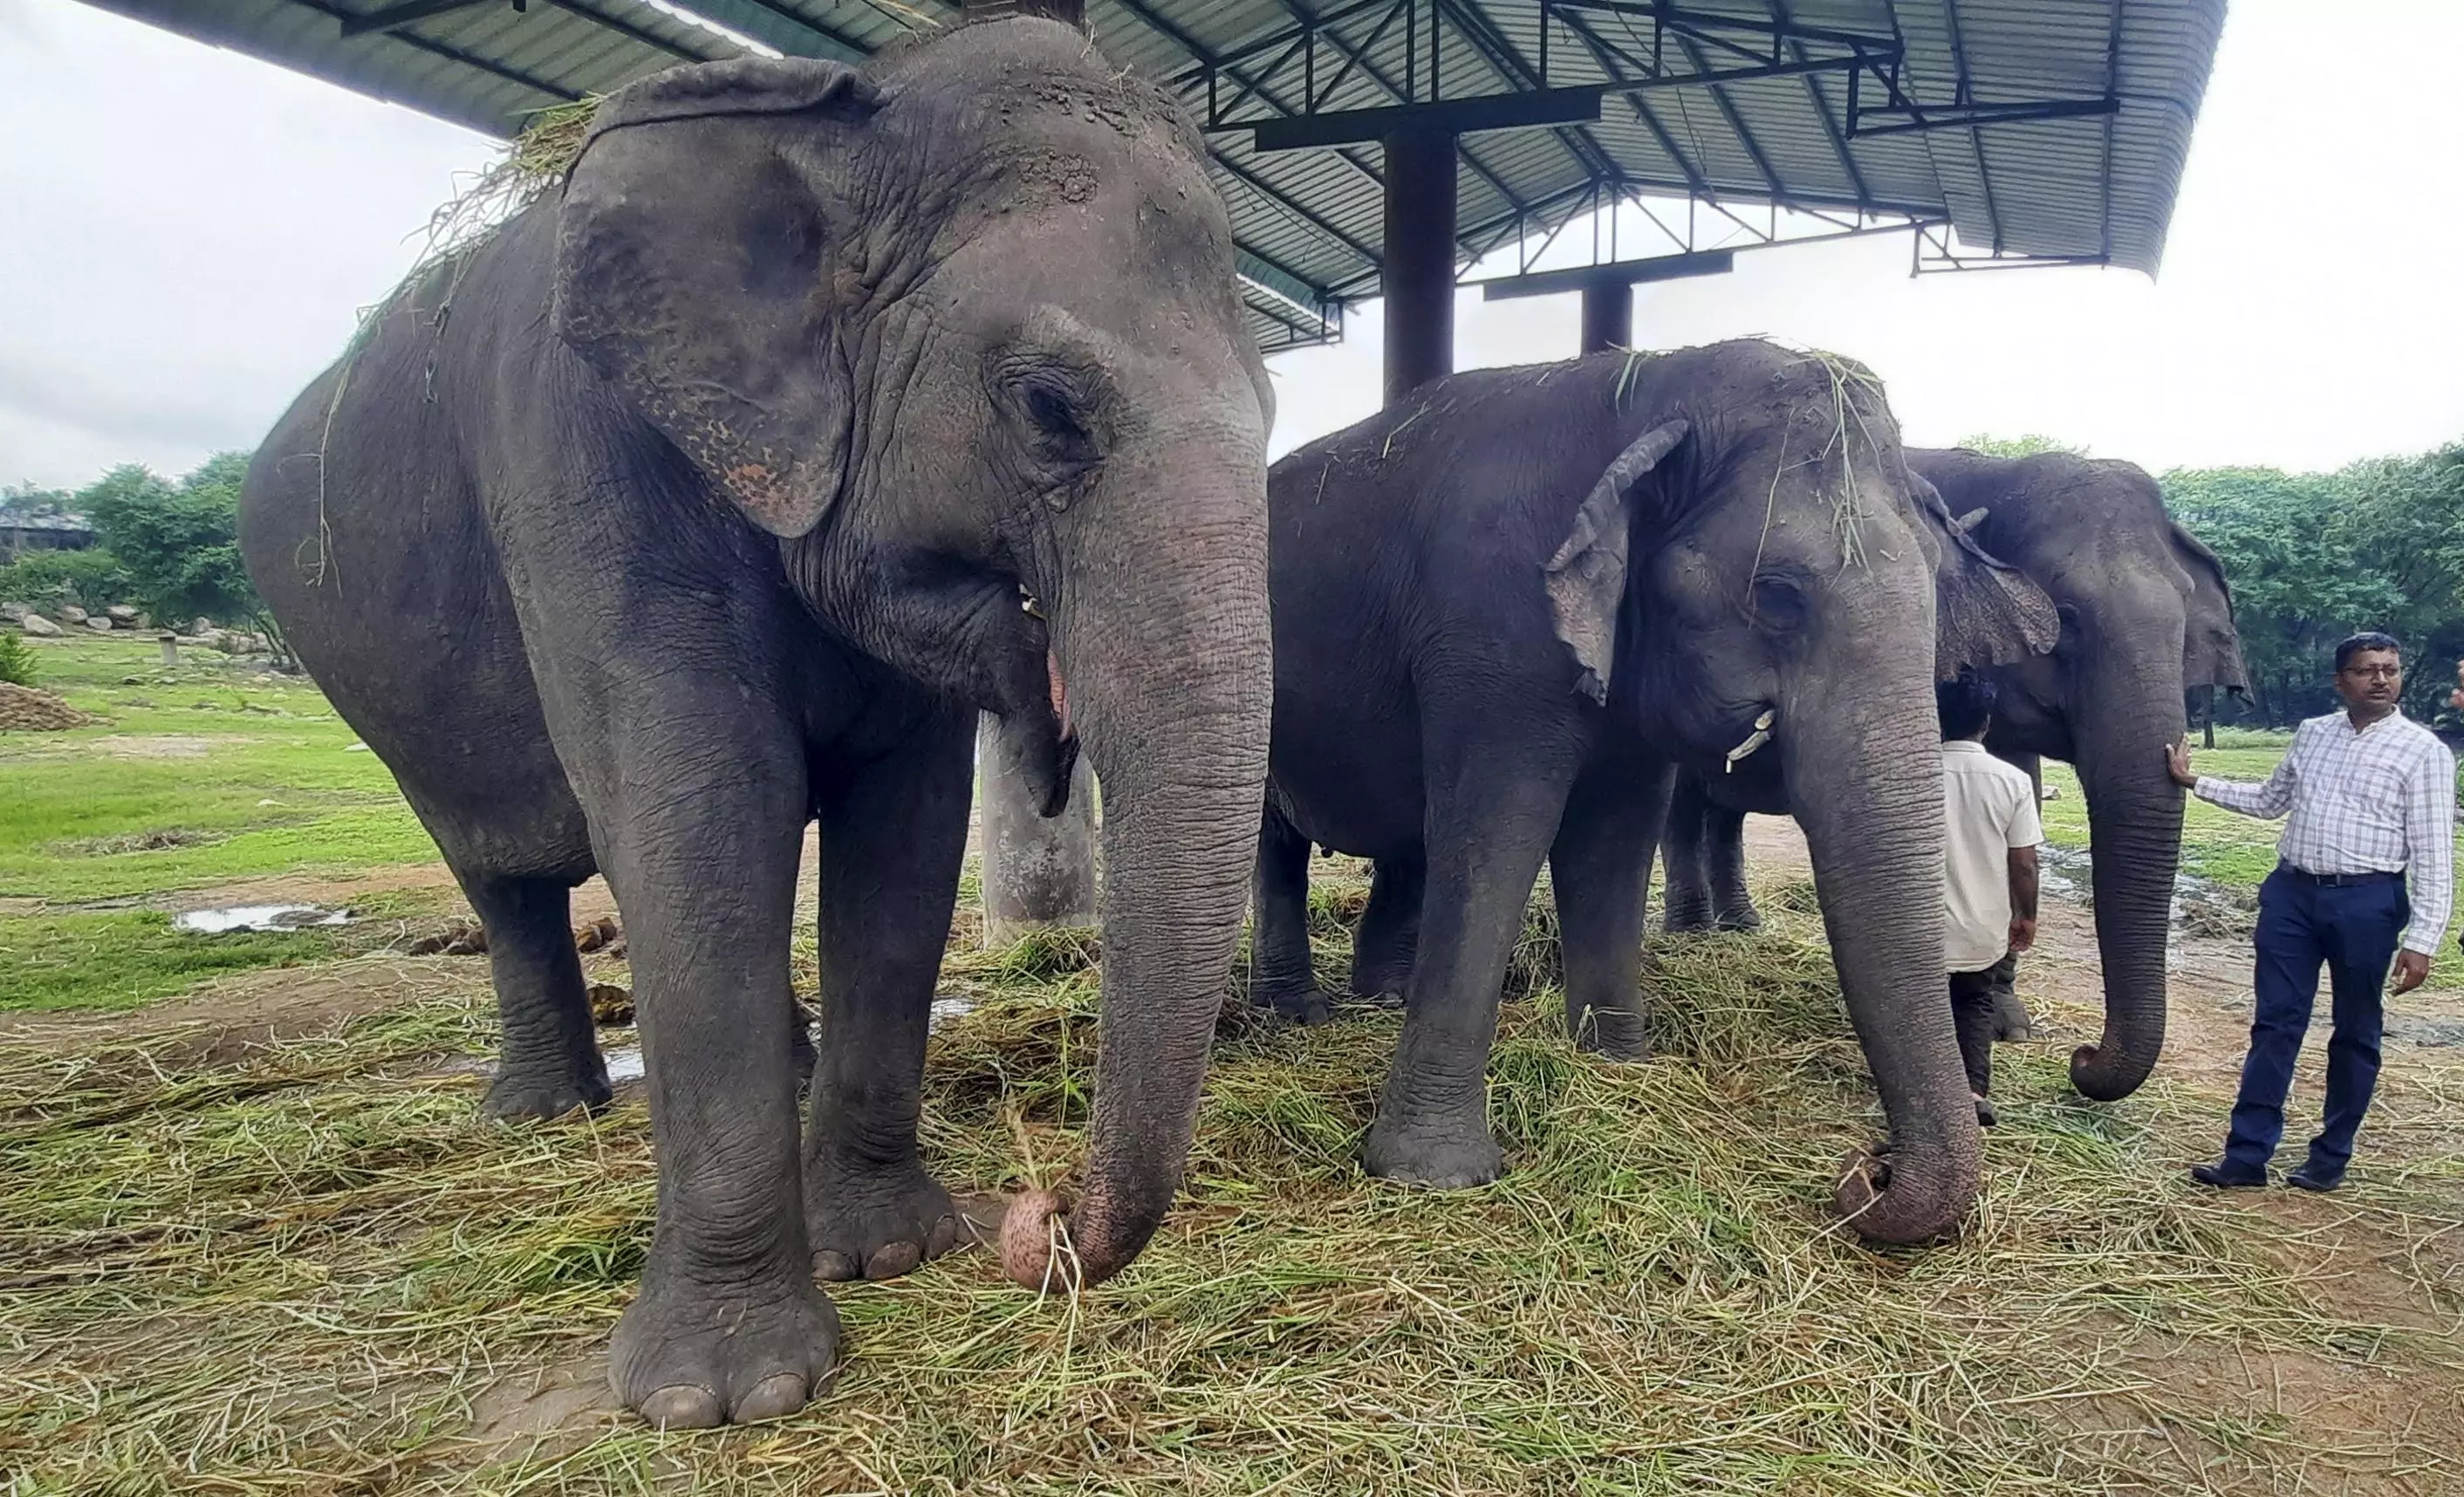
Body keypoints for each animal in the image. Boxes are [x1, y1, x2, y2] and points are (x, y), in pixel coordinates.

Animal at [238, 20, 1273, 1427]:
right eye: (1048, 407)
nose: (1035, 1220)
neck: (843, 120)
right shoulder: (577, 459)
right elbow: (705, 803)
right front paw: (723, 1398)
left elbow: (904, 833)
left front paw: (890, 1254)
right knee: (507, 875)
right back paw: (539, 1115)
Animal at [1246, 342, 2057, 1244]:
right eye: (1777, 595)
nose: (1867, 1170)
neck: (1650, 390)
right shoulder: (1489, 627)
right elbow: (1494, 832)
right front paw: (1434, 1177)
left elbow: (1615, 837)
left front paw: (1615, 1068)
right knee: (1276, 840)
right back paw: (1296, 1014)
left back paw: (1379, 1000)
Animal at [1660, 448, 2246, 1101]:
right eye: (2067, 620)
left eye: (2185, 628)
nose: (2082, 1057)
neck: (2000, 475)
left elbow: (2019, 815)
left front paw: (2008, 1027)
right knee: (1682, 805)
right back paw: (1689, 936)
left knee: (1723, 811)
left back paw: (1740, 929)